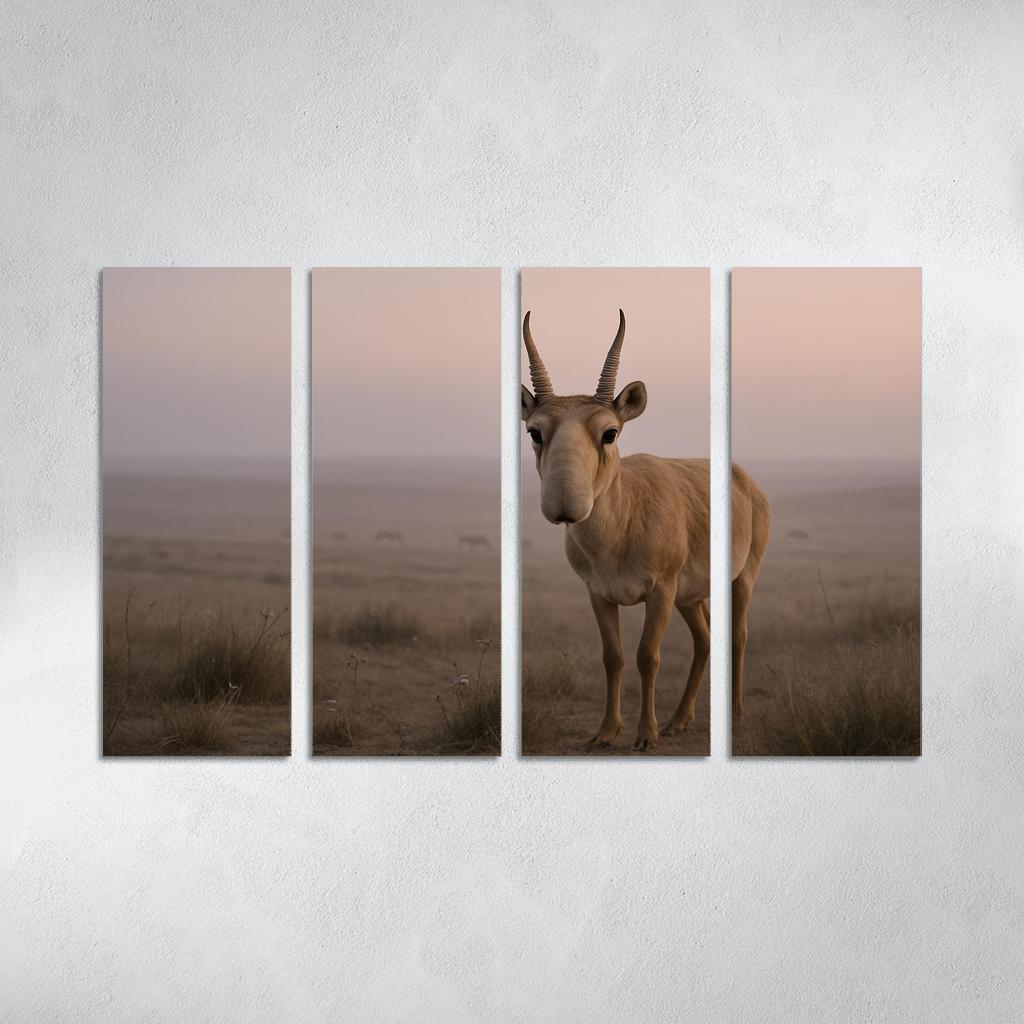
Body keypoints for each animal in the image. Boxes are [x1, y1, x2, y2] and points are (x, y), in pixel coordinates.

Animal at [522, 309, 770, 751]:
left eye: (610, 432)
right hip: (690, 597)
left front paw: (645, 735)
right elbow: (614, 657)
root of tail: (746, 482)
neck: (620, 530)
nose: (565, 504)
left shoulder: (661, 591)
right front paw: (606, 732)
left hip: (740, 580)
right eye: (535, 431)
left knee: (737, 635)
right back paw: (679, 721)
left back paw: (735, 714)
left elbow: (647, 656)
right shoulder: (599, 595)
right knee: (705, 638)